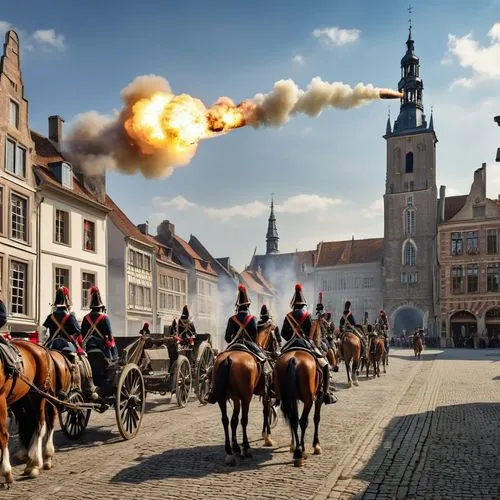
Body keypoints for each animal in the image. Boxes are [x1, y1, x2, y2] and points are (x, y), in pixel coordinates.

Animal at [0, 340, 58, 484]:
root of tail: (41, 347)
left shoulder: (1, 399)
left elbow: (2, 435)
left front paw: (6, 471)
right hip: (24, 398)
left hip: (39, 394)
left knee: (41, 424)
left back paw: (36, 463)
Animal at [210, 326, 276, 466]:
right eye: (276, 337)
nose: (277, 352)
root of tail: (228, 359)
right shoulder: (265, 395)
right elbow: (265, 412)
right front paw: (267, 437)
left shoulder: (235, 398)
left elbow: (234, 420)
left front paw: (235, 446)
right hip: (246, 398)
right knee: (244, 420)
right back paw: (246, 448)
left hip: (222, 398)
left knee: (225, 420)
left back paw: (229, 452)